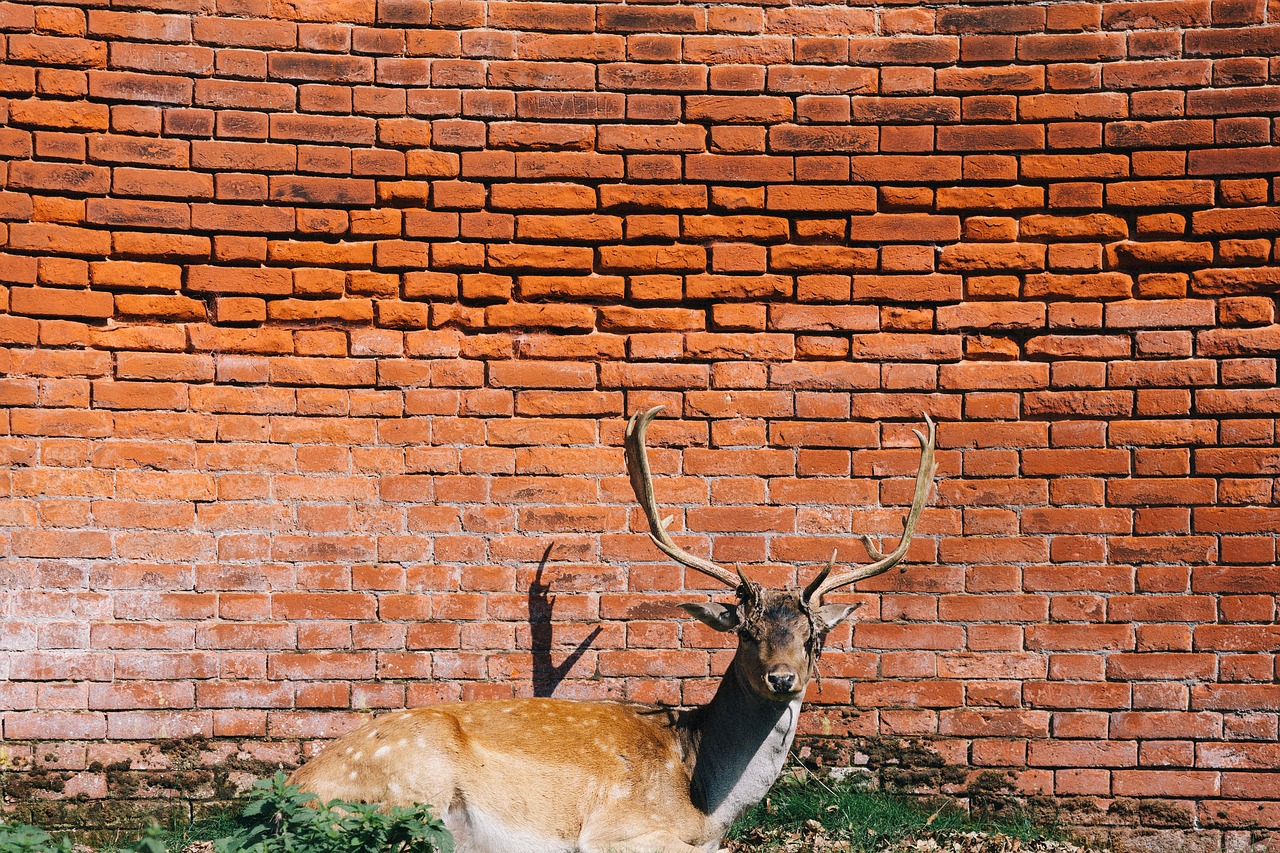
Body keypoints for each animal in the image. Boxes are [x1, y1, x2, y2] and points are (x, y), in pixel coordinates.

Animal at [288, 406, 938, 853]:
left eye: (814, 638)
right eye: (745, 632)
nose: (783, 678)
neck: (705, 805)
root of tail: (294, 789)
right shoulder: (617, 829)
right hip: (412, 793)